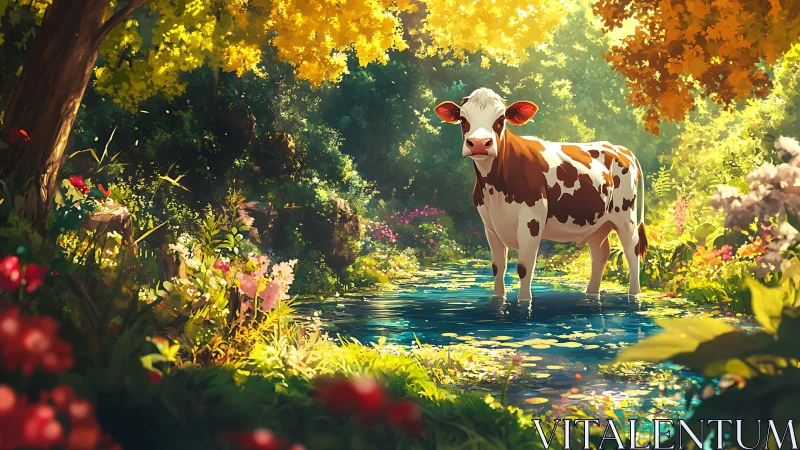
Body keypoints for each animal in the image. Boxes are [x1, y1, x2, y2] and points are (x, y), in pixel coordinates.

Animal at [434, 88, 647, 300]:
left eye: (501, 118)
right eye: (463, 118)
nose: (479, 144)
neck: (496, 190)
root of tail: (621, 149)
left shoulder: (531, 221)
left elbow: (524, 268)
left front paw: (524, 301)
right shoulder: (490, 226)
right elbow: (498, 268)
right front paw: (498, 298)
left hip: (626, 216)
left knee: (632, 251)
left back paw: (634, 295)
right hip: (597, 224)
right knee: (600, 253)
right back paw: (591, 294)